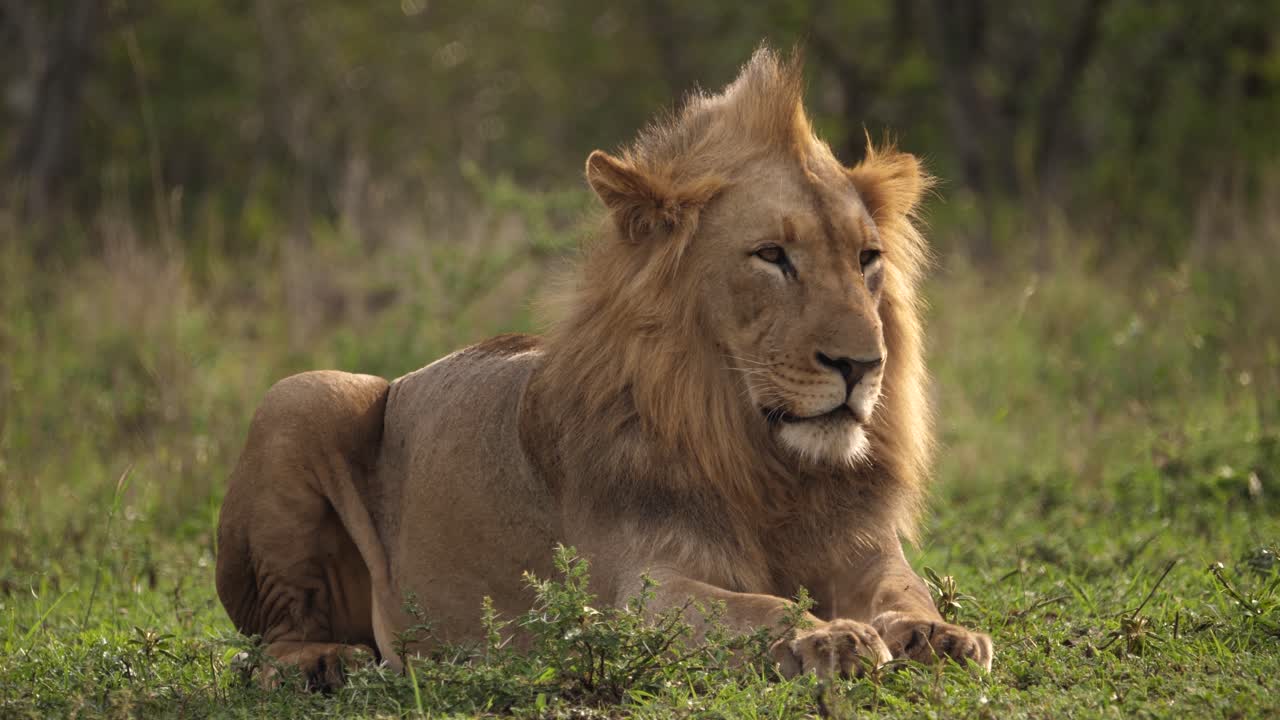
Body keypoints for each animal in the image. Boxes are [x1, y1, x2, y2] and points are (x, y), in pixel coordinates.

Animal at [215, 47, 992, 690]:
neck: (764, 464)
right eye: (772, 255)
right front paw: (830, 636)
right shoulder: (641, 592)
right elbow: (762, 608)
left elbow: (906, 592)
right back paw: (324, 663)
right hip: (305, 394)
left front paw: (939, 634)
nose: (863, 365)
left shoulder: (867, 552)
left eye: (866, 259)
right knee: (272, 642)